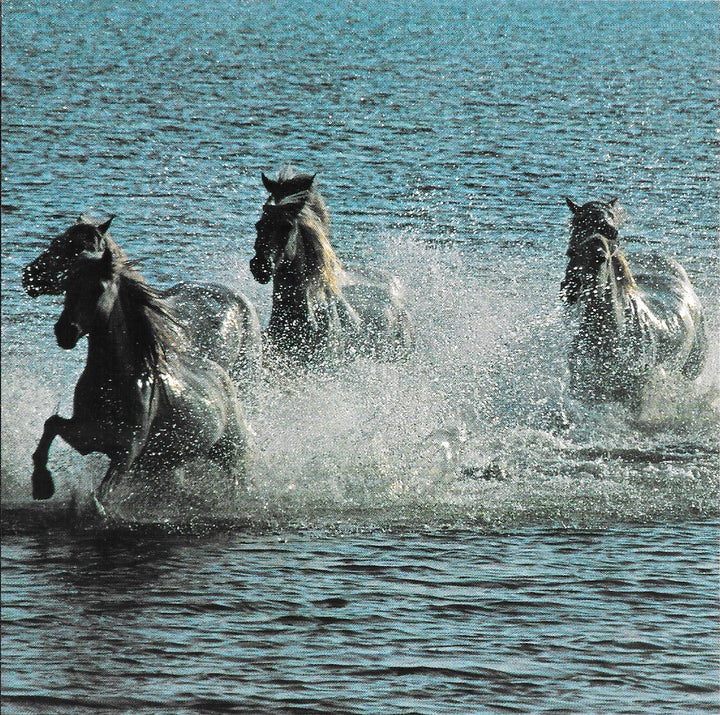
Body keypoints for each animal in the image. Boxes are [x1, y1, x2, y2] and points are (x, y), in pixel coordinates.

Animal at [31, 249, 249, 506]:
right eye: (68, 285)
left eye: (98, 288)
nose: (65, 331)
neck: (116, 379)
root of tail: (221, 375)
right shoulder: (89, 435)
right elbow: (51, 423)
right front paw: (42, 484)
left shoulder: (127, 448)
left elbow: (101, 496)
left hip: (232, 448)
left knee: (239, 475)